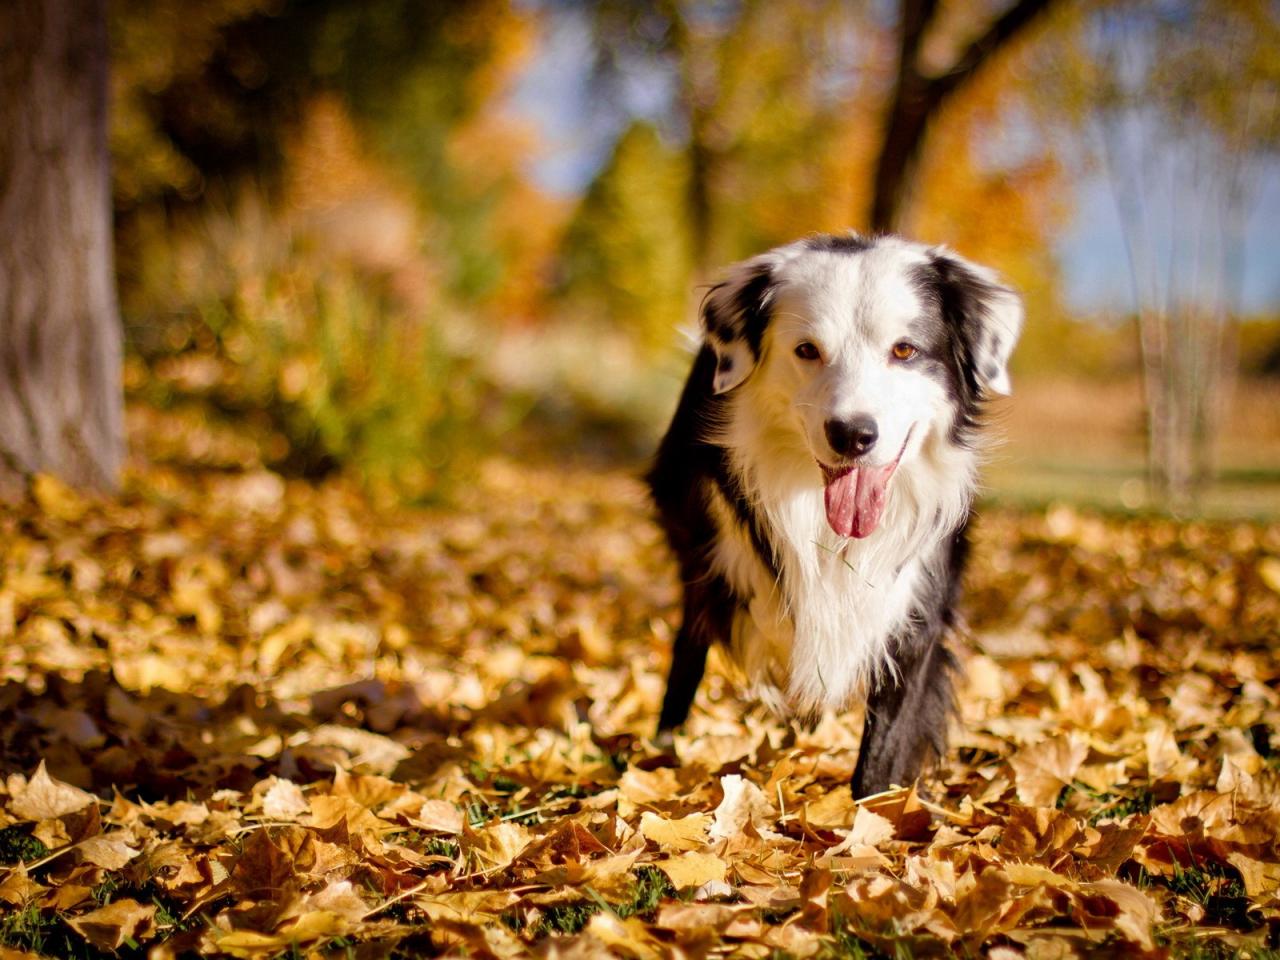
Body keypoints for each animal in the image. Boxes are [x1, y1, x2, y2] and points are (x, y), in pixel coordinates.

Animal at [650, 231, 1018, 798]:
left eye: (905, 350)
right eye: (807, 350)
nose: (852, 434)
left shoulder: (916, 605)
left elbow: (886, 740)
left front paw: (874, 812)